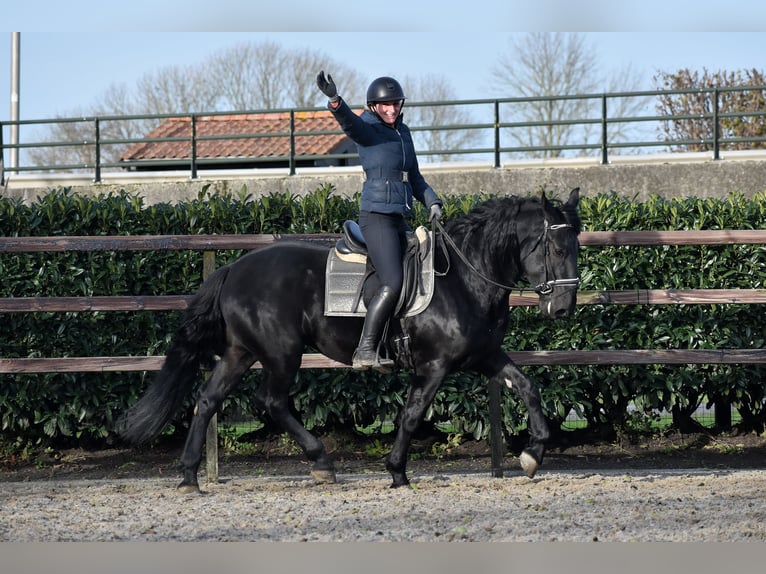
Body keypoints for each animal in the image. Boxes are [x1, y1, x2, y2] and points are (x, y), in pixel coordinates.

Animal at [118, 190, 584, 496]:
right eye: (557, 248)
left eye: (577, 246)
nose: (564, 308)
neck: (465, 277)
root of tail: (233, 268)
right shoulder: (433, 367)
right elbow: (411, 416)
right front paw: (397, 472)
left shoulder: (485, 355)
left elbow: (527, 387)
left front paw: (533, 454)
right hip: (281, 354)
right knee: (271, 401)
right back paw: (321, 463)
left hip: (240, 353)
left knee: (208, 400)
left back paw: (189, 476)